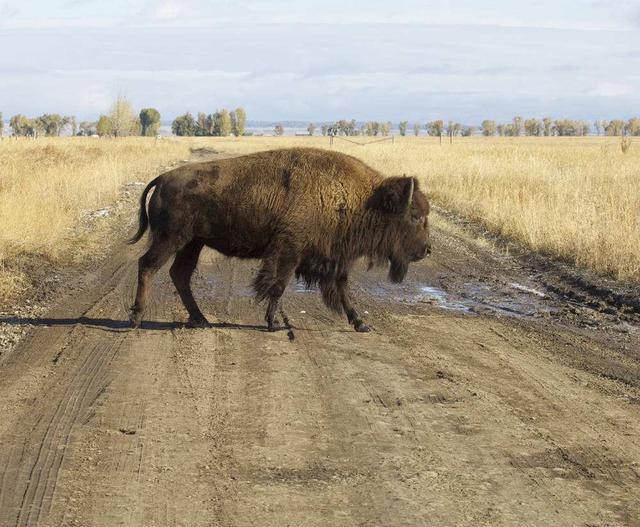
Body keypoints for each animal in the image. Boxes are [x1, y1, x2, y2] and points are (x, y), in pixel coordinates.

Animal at [129, 146, 430, 332]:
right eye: (415, 215)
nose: (426, 250)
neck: (360, 198)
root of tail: (162, 178)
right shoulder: (289, 250)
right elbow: (278, 284)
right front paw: (273, 324)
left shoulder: (334, 259)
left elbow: (342, 289)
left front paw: (360, 324)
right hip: (171, 239)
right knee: (148, 265)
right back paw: (136, 317)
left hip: (192, 243)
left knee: (179, 274)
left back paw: (201, 320)